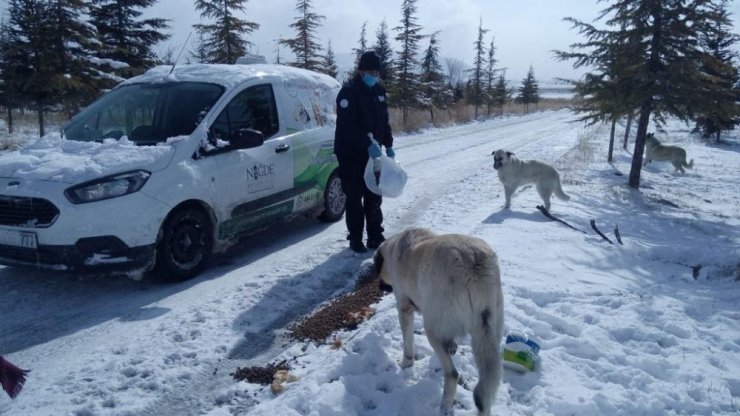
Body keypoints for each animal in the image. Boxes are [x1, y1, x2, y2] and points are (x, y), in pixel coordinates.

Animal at [372, 228, 506, 416]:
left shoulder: (404, 308)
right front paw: (452, 346)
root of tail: (474, 265)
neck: (395, 248)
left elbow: (408, 343)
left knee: (452, 374)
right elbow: (450, 341)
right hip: (491, 330)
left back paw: (445, 405)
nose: (380, 287)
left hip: (432, 328)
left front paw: (406, 363)